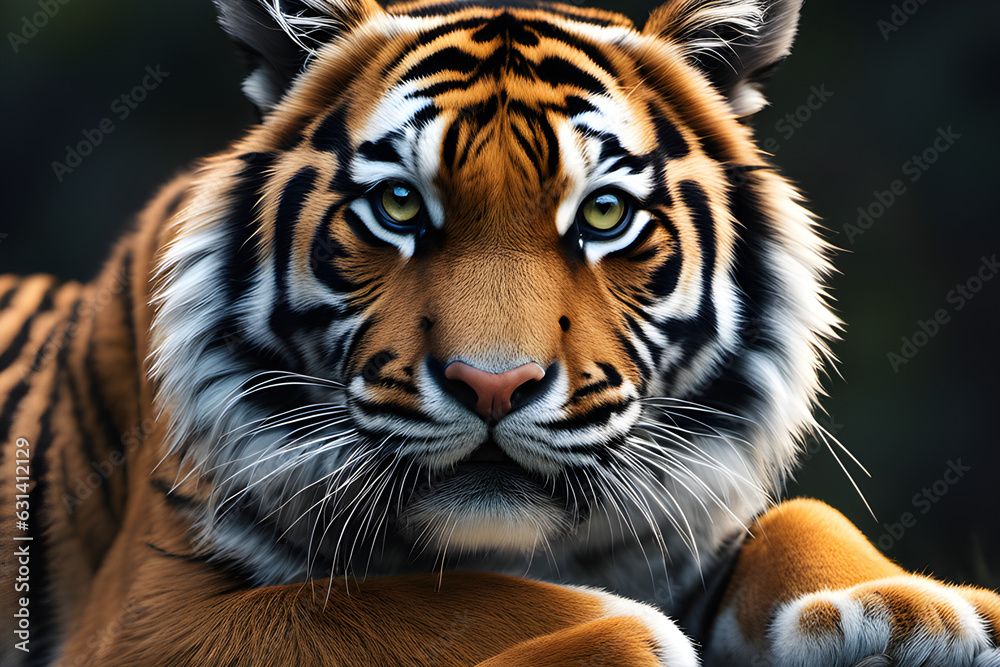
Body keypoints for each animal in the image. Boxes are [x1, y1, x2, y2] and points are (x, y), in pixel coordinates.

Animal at [1, 0, 998, 664]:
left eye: (603, 214)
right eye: (400, 204)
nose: (493, 385)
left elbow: (805, 512)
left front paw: (915, 613)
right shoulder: (148, 613)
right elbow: (396, 602)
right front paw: (632, 637)